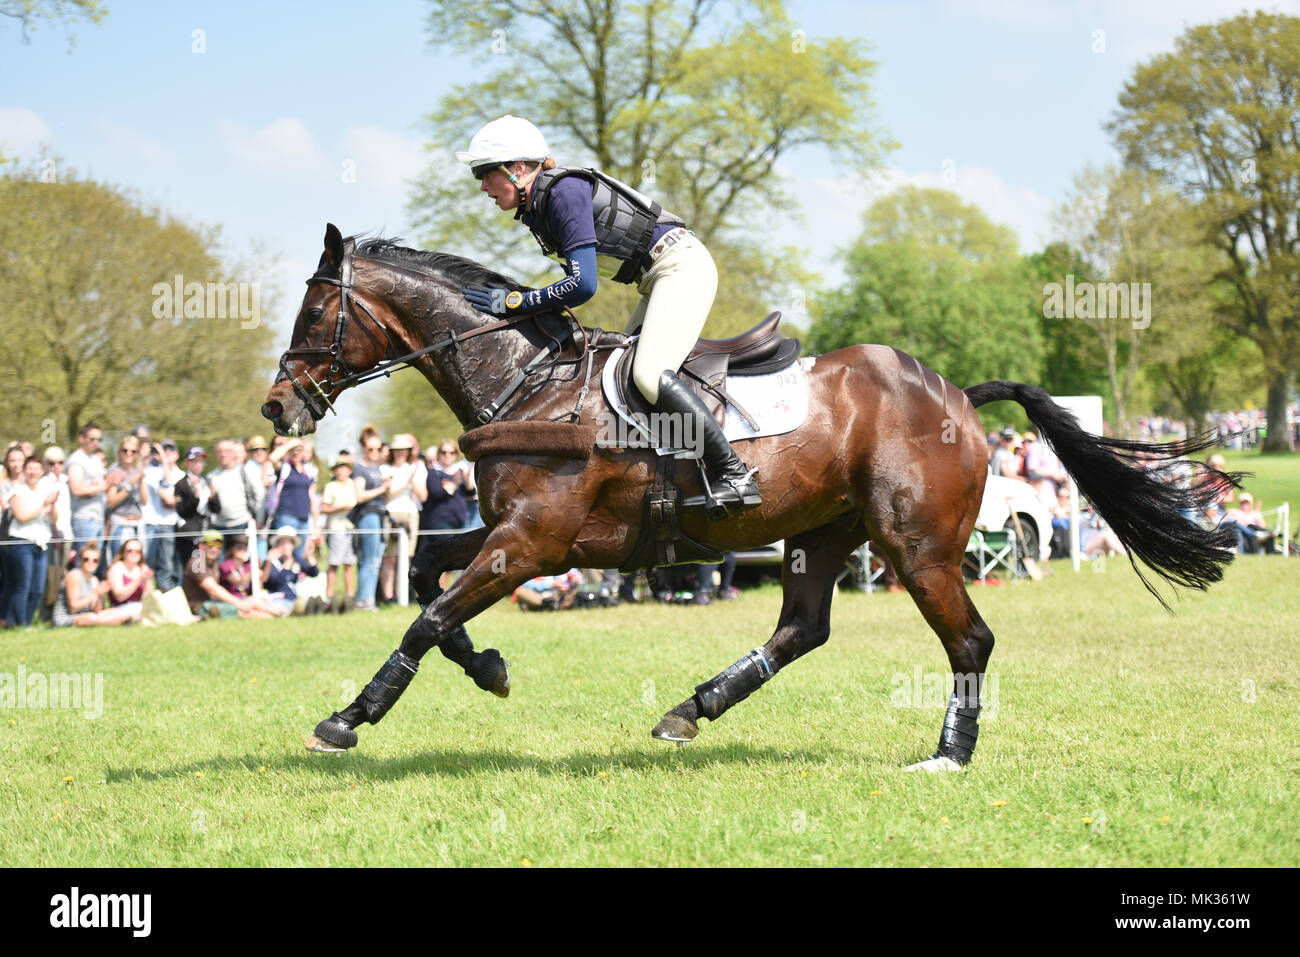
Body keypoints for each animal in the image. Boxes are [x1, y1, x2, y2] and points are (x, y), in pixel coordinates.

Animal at [256, 223, 1237, 769]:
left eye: (313, 312)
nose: (275, 407)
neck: (525, 380)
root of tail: (957, 395)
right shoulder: (511, 536)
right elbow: (425, 575)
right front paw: (489, 666)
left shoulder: (532, 542)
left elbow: (425, 615)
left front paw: (349, 717)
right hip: (825, 532)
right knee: (802, 627)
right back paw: (690, 710)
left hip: (917, 548)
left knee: (970, 639)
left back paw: (948, 755)